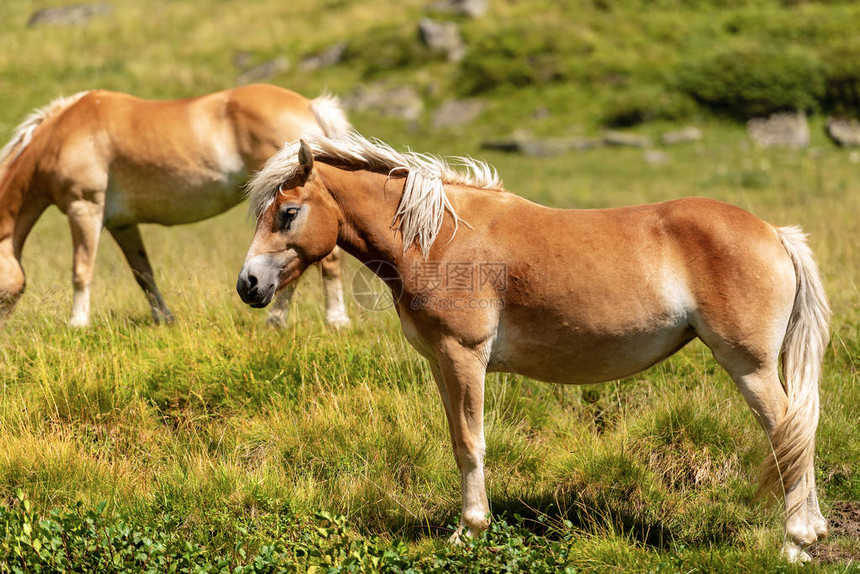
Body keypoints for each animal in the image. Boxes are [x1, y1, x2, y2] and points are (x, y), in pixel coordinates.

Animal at [0, 84, 350, 328]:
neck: (62, 134)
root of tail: (309, 105)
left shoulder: (84, 208)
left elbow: (81, 271)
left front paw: (77, 323)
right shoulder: (122, 224)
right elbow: (143, 273)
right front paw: (163, 318)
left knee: (328, 261)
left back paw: (331, 321)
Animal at [239, 134, 828, 564]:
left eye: (288, 213)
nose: (248, 285)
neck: (441, 238)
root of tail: (775, 233)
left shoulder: (464, 357)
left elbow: (470, 444)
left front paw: (470, 531)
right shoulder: (441, 364)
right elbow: (457, 440)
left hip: (749, 366)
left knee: (787, 432)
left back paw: (796, 540)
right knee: (797, 431)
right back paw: (813, 530)